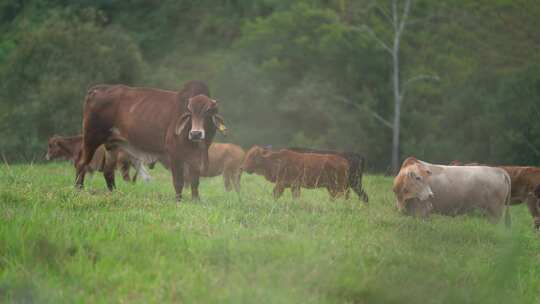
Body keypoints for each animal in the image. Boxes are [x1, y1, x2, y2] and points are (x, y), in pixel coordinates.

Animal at [75, 80, 224, 202]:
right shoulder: (174, 154)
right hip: (91, 137)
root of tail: (97, 89)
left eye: (207, 112)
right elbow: (178, 181)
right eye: (189, 113)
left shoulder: (196, 157)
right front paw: (178, 200)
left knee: (108, 171)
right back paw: (78, 189)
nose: (196, 133)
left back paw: (114, 193)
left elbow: (194, 181)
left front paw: (196, 199)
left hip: (112, 144)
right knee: (82, 163)